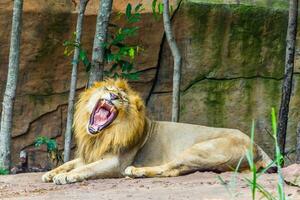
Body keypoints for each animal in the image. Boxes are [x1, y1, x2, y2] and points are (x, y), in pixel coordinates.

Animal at [41, 78, 274, 184]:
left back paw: (137, 171)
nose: (114, 96)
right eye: (108, 90)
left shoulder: (115, 162)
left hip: (201, 149)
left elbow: (86, 169)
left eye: (122, 98)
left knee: (171, 168)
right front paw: (51, 173)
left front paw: (65, 177)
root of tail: (256, 145)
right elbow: (70, 162)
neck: (100, 137)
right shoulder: (89, 154)